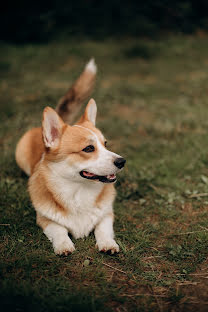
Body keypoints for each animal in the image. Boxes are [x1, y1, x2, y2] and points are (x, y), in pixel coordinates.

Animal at [15, 59, 125, 256]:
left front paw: (108, 243)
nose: (122, 162)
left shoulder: (107, 215)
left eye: (105, 144)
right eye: (88, 148)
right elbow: (59, 230)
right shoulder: (45, 220)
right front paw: (63, 245)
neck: (78, 190)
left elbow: (103, 229)